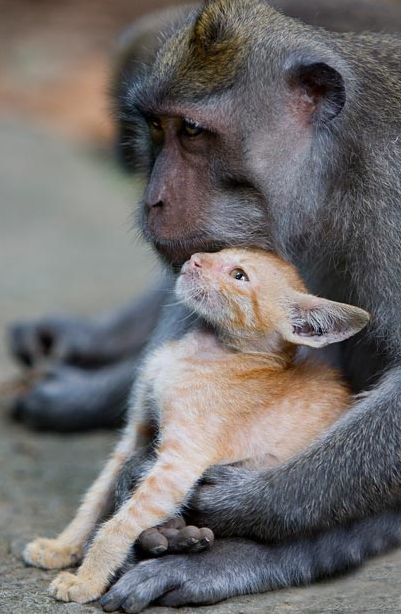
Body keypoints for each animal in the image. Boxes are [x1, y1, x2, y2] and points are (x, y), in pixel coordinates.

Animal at [23, 248, 368, 604]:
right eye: (221, 252)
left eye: (239, 275)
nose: (196, 258)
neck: (203, 349)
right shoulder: (136, 434)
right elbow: (97, 496)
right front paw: (62, 547)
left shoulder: (179, 465)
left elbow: (119, 525)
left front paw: (87, 581)